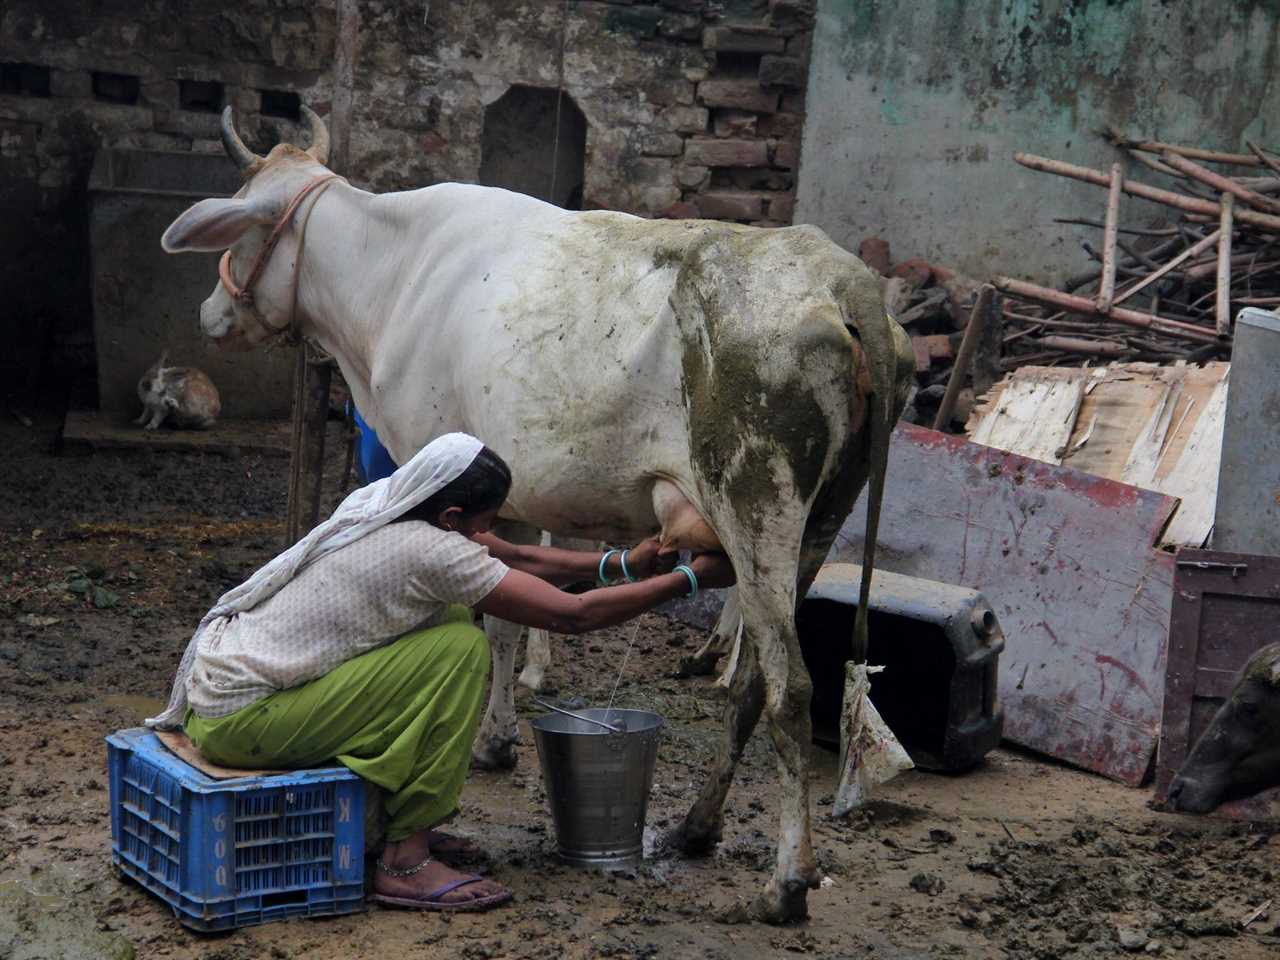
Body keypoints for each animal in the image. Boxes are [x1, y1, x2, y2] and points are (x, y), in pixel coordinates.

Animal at [160, 106, 916, 926]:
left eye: (238, 223)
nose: (208, 313)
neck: (388, 273)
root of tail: (841, 278)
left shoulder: (447, 465)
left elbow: (481, 621)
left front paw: (483, 743)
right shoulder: (511, 495)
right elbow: (504, 624)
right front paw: (498, 739)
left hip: (758, 505)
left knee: (789, 690)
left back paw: (785, 882)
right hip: (820, 522)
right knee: (751, 685)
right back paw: (695, 827)